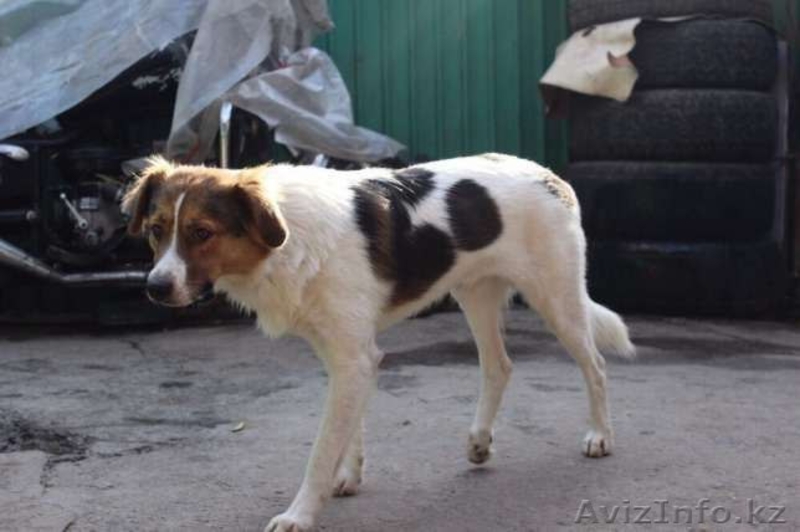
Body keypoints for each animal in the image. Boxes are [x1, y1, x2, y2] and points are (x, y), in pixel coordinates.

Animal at [123, 153, 635, 531]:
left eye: (201, 233)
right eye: (156, 229)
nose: (154, 288)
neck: (285, 238)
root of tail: (548, 175)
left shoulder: (353, 357)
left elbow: (322, 447)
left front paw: (300, 513)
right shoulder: (346, 355)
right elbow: (350, 428)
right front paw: (348, 476)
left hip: (557, 297)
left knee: (595, 365)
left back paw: (600, 436)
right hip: (474, 293)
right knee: (499, 365)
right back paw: (479, 442)